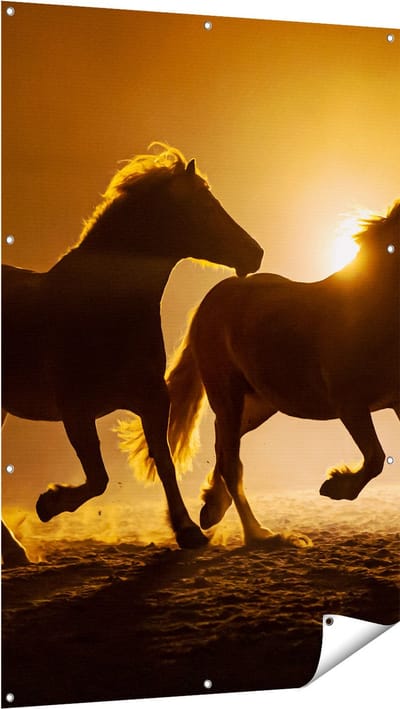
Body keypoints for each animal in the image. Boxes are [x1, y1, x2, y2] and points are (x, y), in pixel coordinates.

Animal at [1, 143, 263, 565]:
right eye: (205, 207)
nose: (255, 253)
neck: (107, 308)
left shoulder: (152, 399)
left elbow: (164, 461)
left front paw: (189, 531)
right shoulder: (75, 409)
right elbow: (98, 478)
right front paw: (48, 503)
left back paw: (13, 550)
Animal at [118, 200, 399, 548]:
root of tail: (216, 294)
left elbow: (377, 458)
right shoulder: (350, 405)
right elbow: (375, 458)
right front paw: (334, 487)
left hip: (258, 405)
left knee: (225, 447)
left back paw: (212, 509)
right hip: (228, 396)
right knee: (230, 462)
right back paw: (257, 533)